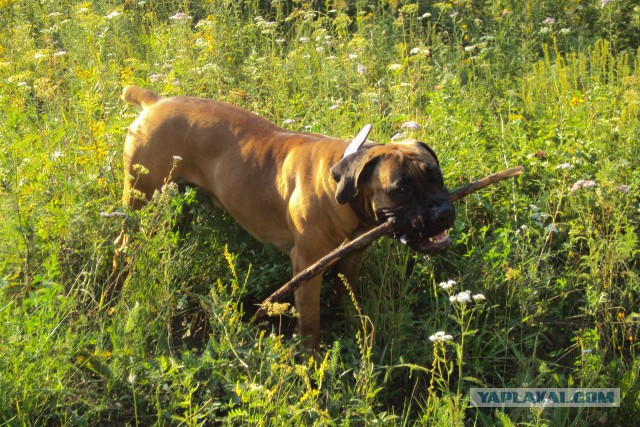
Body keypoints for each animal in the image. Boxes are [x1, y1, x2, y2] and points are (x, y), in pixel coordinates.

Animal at [116, 86, 456, 352]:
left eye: (437, 176)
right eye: (400, 190)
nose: (443, 211)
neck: (341, 186)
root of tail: (154, 101)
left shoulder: (352, 256)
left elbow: (348, 294)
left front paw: (353, 322)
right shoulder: (306, 266)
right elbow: (311, 321)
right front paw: (312, 360)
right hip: (140, 199)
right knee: (124, 242)